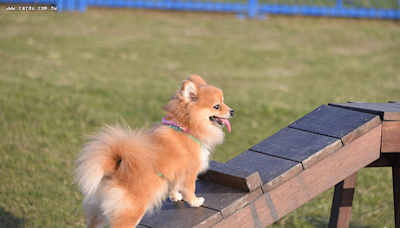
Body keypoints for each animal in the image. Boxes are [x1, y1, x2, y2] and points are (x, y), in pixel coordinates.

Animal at [74, 74, 234, 226]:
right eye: (216, 106)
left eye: (224, 102)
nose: (232, 111)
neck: (186, 129)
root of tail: (114, 169)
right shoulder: (189, 171)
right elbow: (189, 189)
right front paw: (195, 202)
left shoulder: (174, 172)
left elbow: (173, 187)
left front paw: (176, 197)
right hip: (132, 211)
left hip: (99, 212)